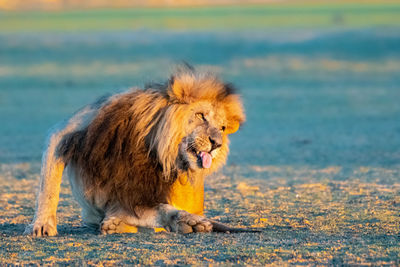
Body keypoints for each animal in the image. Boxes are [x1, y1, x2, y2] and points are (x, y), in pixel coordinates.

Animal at [25, 66, 247, 237]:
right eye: (201, 115)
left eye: (222, 128)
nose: (217, 143)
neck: (151, 142)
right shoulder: (68, 131)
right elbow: (47, 187)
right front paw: (42, 225)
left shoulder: (138, 193)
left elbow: (157, 210)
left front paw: (189, 222)